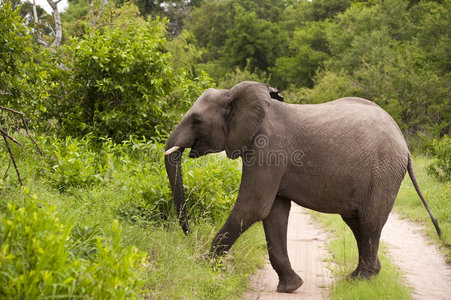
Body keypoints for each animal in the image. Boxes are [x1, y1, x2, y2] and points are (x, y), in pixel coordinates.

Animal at [163, 81, 442, 292]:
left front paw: (202, 266)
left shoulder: (269, 146)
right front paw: (291, 287)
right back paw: (358, 277)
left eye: (196, 120)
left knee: (370, 222)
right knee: (357, 223)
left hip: (383, 172)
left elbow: (253, 207)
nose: (188, 233)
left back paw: (362, 280)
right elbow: (273, 213)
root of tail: (405, 145)